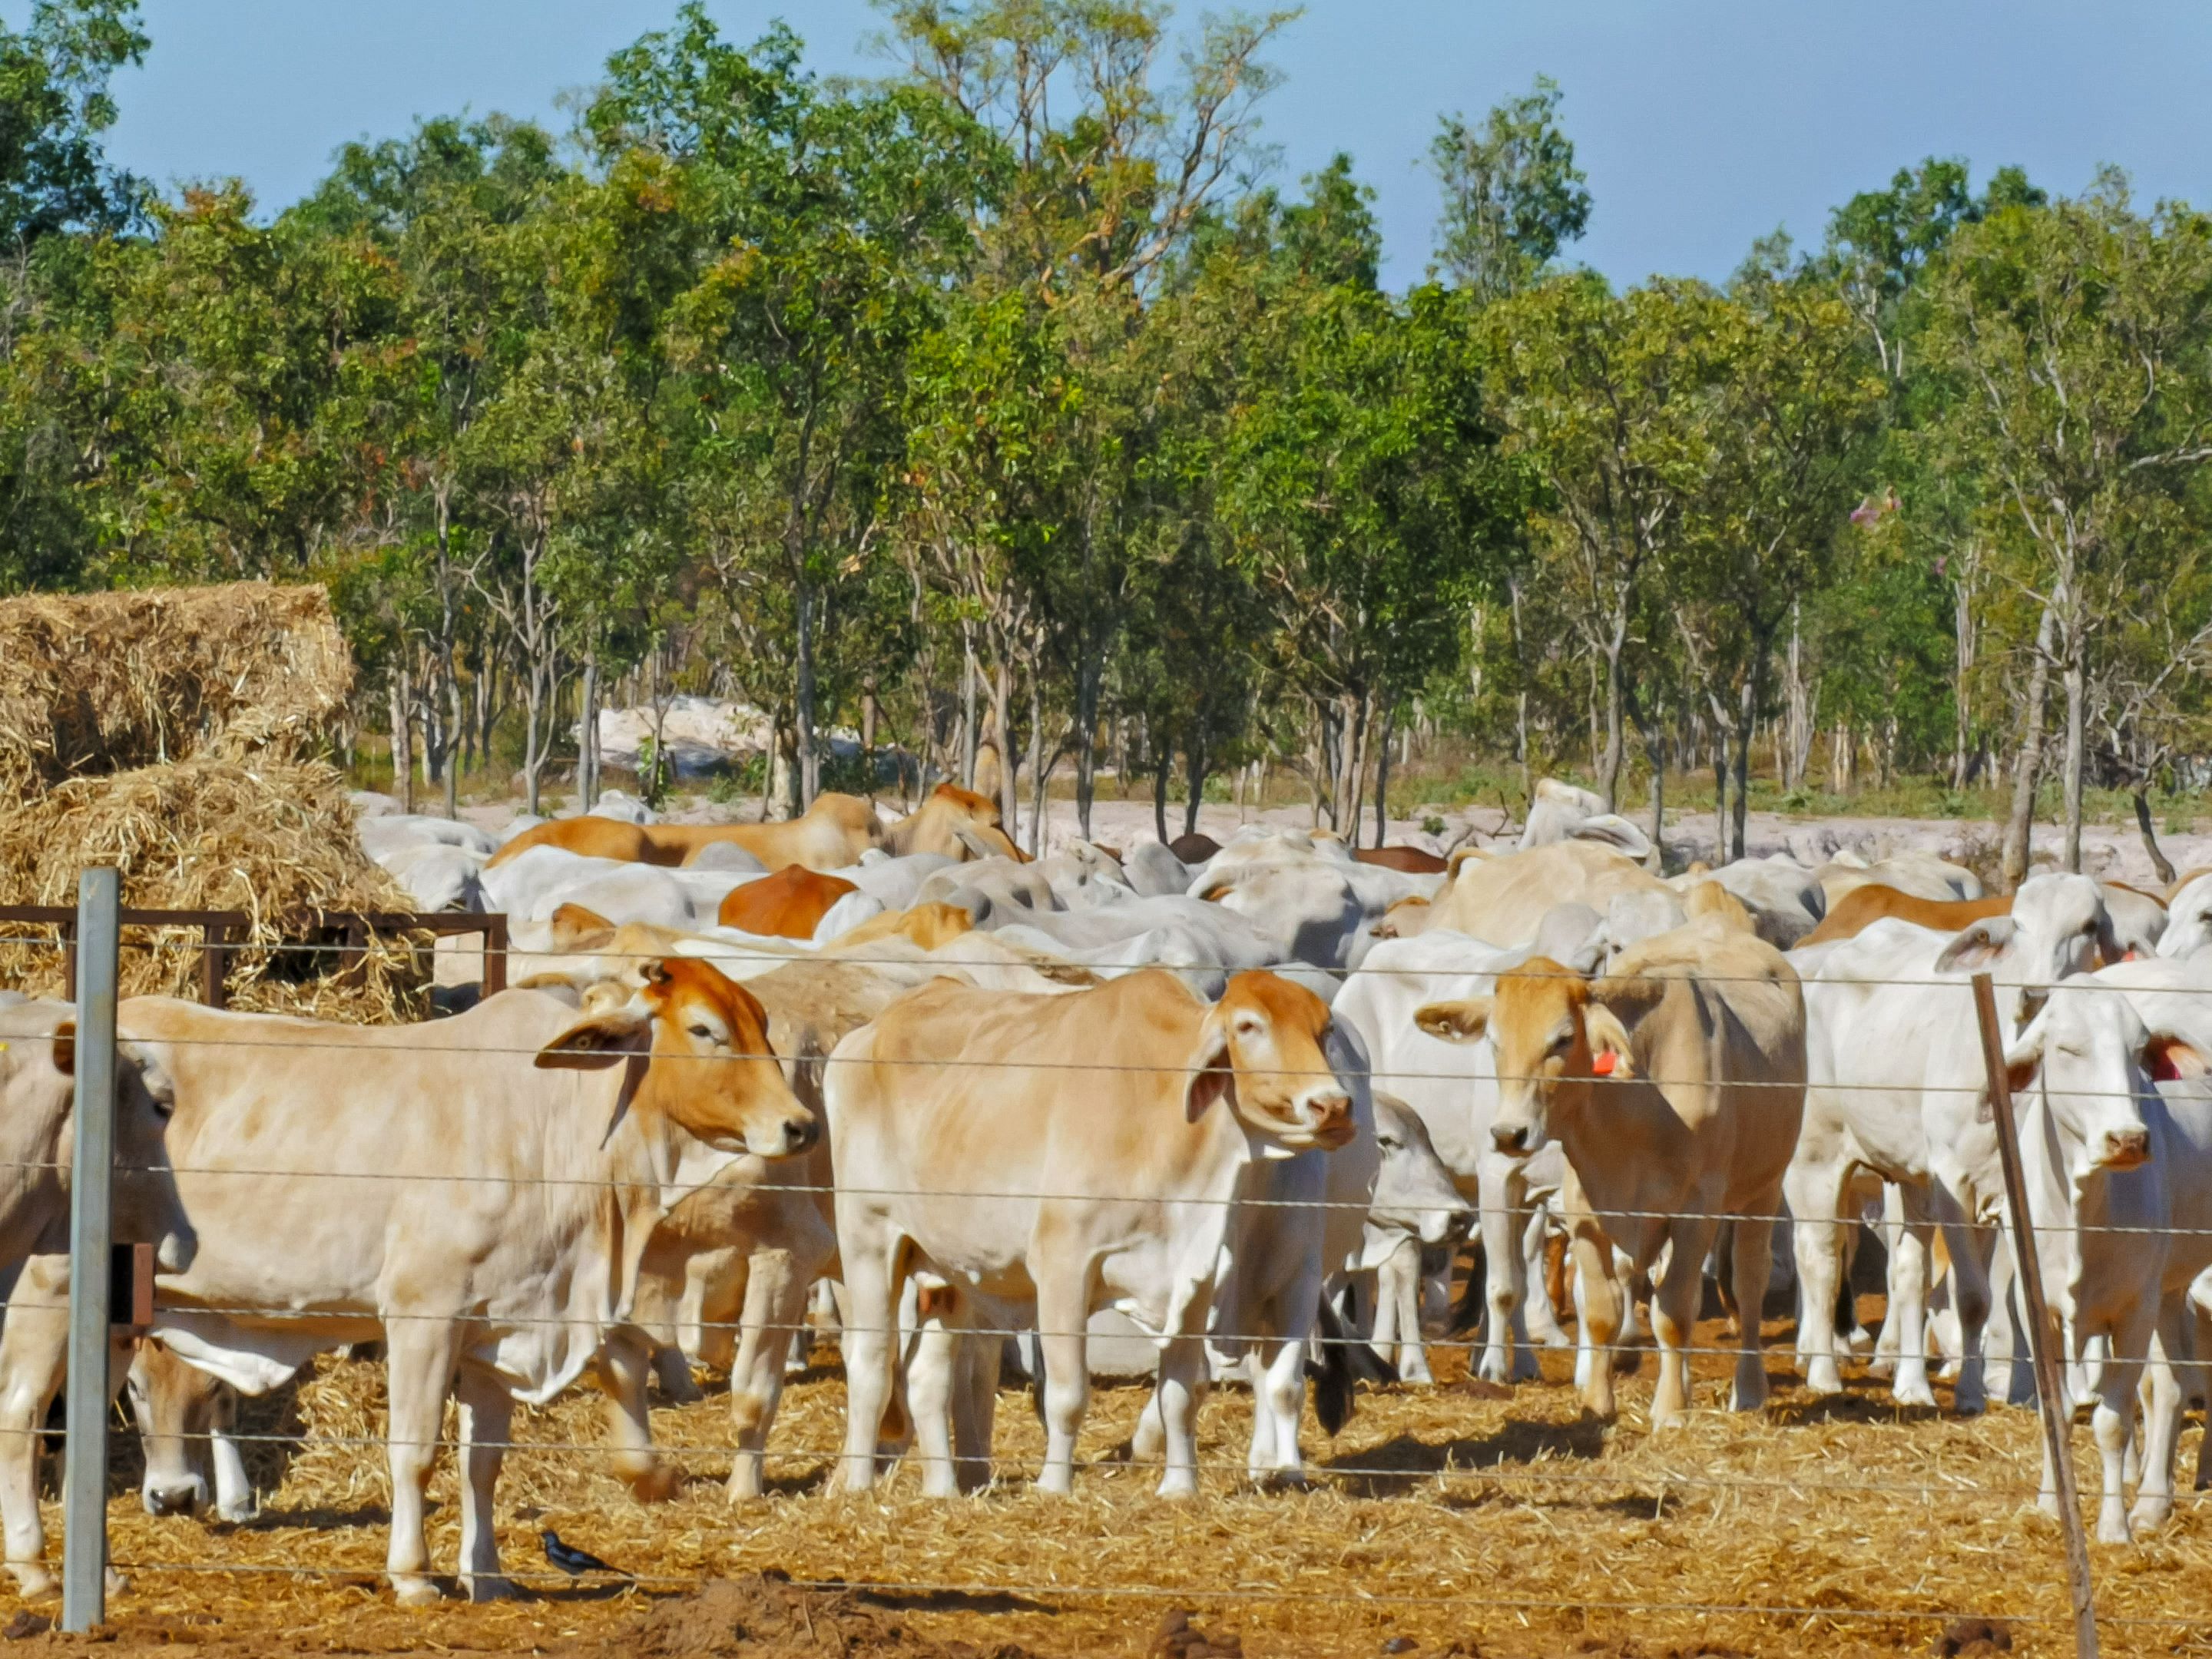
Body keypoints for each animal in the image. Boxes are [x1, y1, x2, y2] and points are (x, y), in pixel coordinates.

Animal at [0, 967, 814, 1606]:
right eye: (705, 1029)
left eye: (761, 1021)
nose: (800, 1125)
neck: (557, 1122)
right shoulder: (426, 1315)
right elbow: (416, 1451)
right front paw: (415, 1575)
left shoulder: (496, 1328)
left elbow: (483, 1463)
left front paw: (488, 1575)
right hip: (49, 1287)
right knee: (23, 1413)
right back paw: (35, 1567)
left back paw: (99, 1575)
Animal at [825, 969, 1356, 1498]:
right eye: (1248, 1026)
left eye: (1325, 1029)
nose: (1333, 1106)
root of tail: (870, 1030)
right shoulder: (1064, 1266)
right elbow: (1068, 1395)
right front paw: (1053, 1486)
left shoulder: (1194, 1278)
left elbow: (1183, 1393)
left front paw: (1180, 1487)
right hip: (868, 1239)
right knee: (871, 1364)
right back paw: (856, 1482)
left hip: (948, 1272)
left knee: (927, 1376)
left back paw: (944, 1490)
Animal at [1416, 917, 1808, 1426]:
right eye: (1494, 1042)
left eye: (1563, 1039)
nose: (1509, 1134)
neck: (1634, 1107)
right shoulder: (1586, 1209)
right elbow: (1603, 1311)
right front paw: (1599, 1402)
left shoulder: (1697, 1213)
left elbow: (1674, 1312)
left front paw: (1670, 1411)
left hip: (1764, 1189)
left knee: (1747, 1283)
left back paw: (1749, 1389)